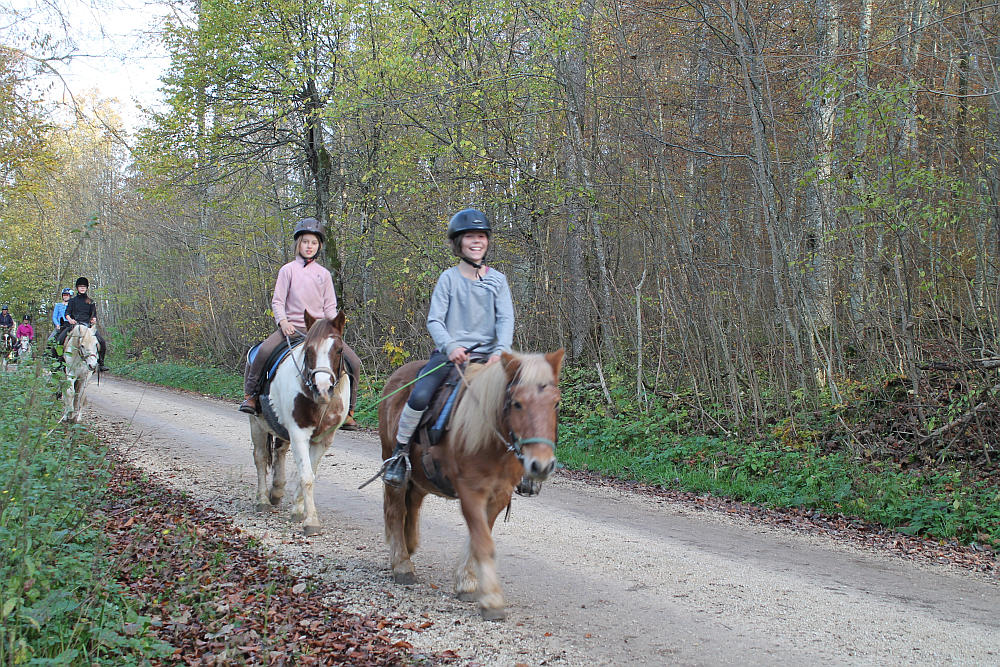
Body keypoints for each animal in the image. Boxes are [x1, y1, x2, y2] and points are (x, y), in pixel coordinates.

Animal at [250, 311, 350, 536]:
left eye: (339, 350)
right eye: (309, 350)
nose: (323, 390)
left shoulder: (322, 440)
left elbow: (309, 472)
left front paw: (298, 510)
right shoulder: (299, 434)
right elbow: (306, 476)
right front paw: (311, 521)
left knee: (279, 452)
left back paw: (277, 491)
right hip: (256, 423)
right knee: (260, 458)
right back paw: (262, 500)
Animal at [378, 349, 564, 621]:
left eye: (555, 403)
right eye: (517, 403)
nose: (540, 465)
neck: (490, 439)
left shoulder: (498, 495)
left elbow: (479, 536)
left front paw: (466, 583)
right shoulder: (471, 492)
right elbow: (483, 542)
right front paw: (492, 600)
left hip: (421, 477)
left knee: (412, 503)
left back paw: (408, 546)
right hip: (393, 465)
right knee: (395, 509)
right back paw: (402, 564)